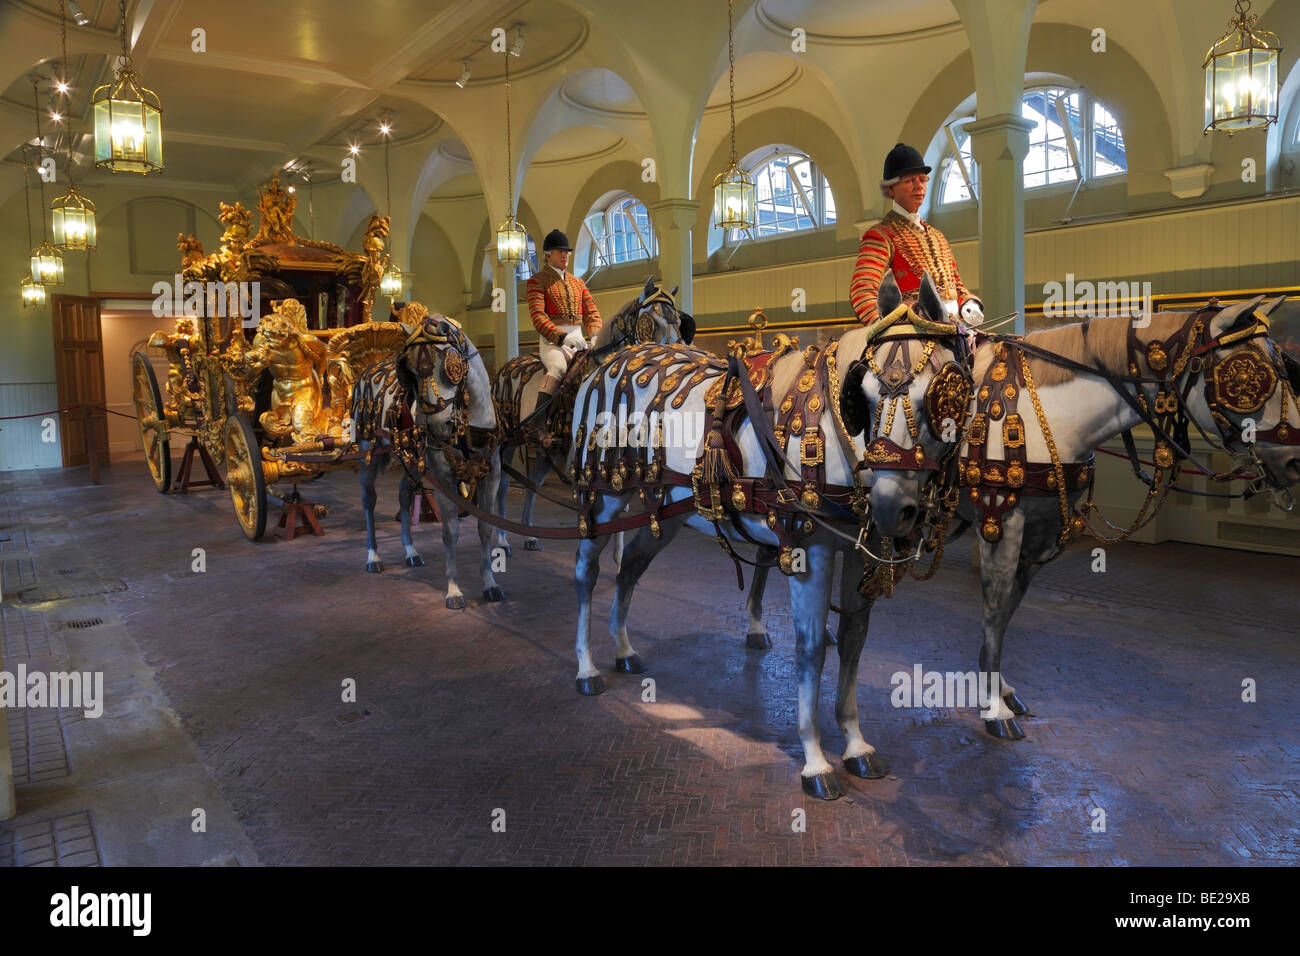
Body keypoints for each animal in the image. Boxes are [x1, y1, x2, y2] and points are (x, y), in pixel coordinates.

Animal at [353, 310, 504, 608]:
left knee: (403, 493)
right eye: (411, 373)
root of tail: (368, 370)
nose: (437, 427)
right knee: (369, 499)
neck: (469, 424)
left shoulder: (492, 474)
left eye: (449, 366)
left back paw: (410, 551)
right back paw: (373, 556)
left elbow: (485, 528)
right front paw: (454, 589)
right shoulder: (444, 479)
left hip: (411, 460)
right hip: (369, 451)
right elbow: (450, 532)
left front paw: (490, 583)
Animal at [857, 287, 1294, 738]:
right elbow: (994, 608)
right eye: (1248, 376)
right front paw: (995, 708)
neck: (1047, 415)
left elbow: (1008, 609)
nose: (1294, 460)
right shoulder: (1000, 519)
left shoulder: (1041, 531)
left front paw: (998, 687)